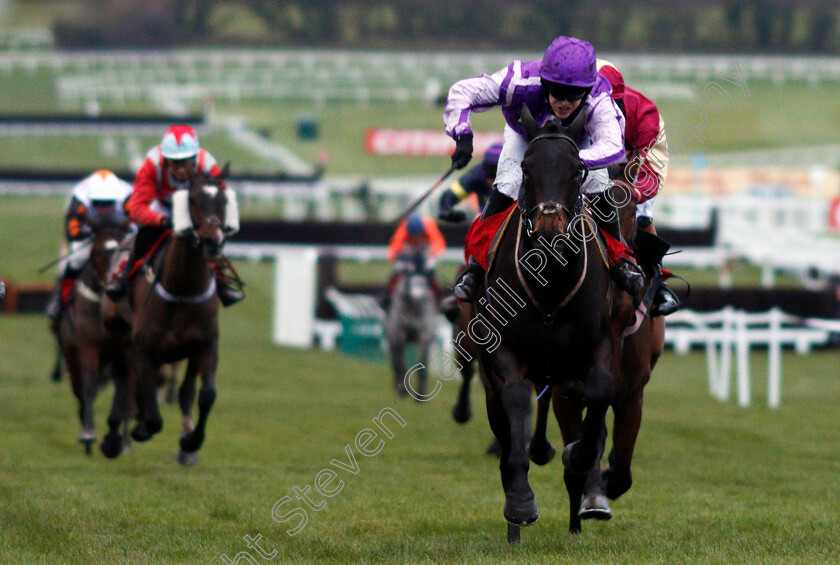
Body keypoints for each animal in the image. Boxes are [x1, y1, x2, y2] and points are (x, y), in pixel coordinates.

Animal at [51, 215, 130, 454]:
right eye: (95, 253)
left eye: (122, 253)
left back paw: (125, 441)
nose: (112, 286)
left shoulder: (125, 349)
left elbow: (123, 389)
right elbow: (87, 385)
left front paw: (115, 439)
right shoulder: (87, 346)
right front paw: (87, 433)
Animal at [103, 163, 231, 462]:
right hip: (117, 333)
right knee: (123, 377)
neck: (183, 290)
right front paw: (139, 430)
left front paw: (191, 442)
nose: (213, 242)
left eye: (223, 200)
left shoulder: (205, 345)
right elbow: (152, 412)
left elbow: (204, 394)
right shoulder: (145, 349)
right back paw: (114, 438)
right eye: (192, 200)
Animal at [472, 107, 616, 540]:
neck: (549, 281)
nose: (551, 233)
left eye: (577, 170)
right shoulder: (504, 350)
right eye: (526, 167)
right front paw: (520, 501)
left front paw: (576, 456)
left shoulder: (599, 343)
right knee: (504, 425)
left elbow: (600, 392)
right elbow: (517, 399)